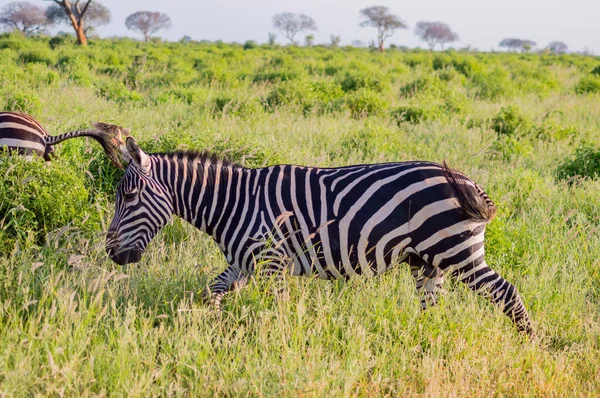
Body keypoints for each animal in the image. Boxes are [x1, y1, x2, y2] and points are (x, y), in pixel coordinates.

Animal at [105, 138, 532, 336]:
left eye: (128, 197)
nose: (112, 254)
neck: (234, 204)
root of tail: (469, 181)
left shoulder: (271, 261)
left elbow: (272, 310)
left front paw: (272, 347)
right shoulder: (240, 264)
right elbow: (211, 295)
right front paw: (200, 329)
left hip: (456, 251)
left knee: (506, 293)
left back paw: (531, 345)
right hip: (428, 262)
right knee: (432, 306)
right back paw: (422, 342)